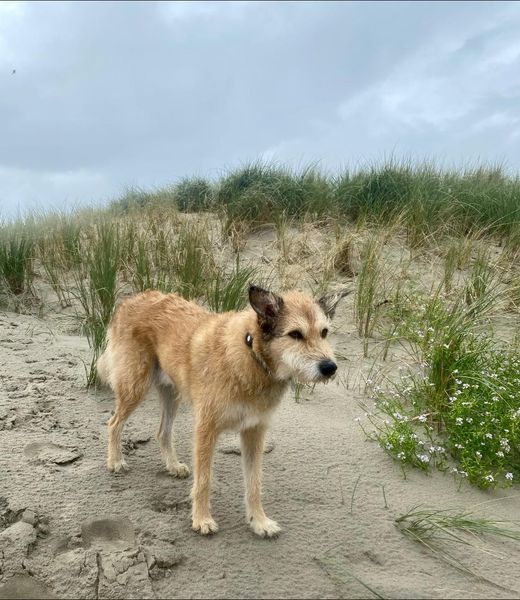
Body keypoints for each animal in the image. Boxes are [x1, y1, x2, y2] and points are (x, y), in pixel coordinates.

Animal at [97, 285, 350, 537]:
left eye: (324, 332)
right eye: (295, 334)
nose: (330, 367)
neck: (252, 356)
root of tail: (132, 299)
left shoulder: (254, 433)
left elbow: (254, 484)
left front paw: (259, 521)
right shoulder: (206, 429)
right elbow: (204, 480)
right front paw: (201, 519)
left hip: (171, 393)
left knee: (162, 432)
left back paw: (172, 465)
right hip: (135, 387)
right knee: (114, 423)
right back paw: (116, 460)